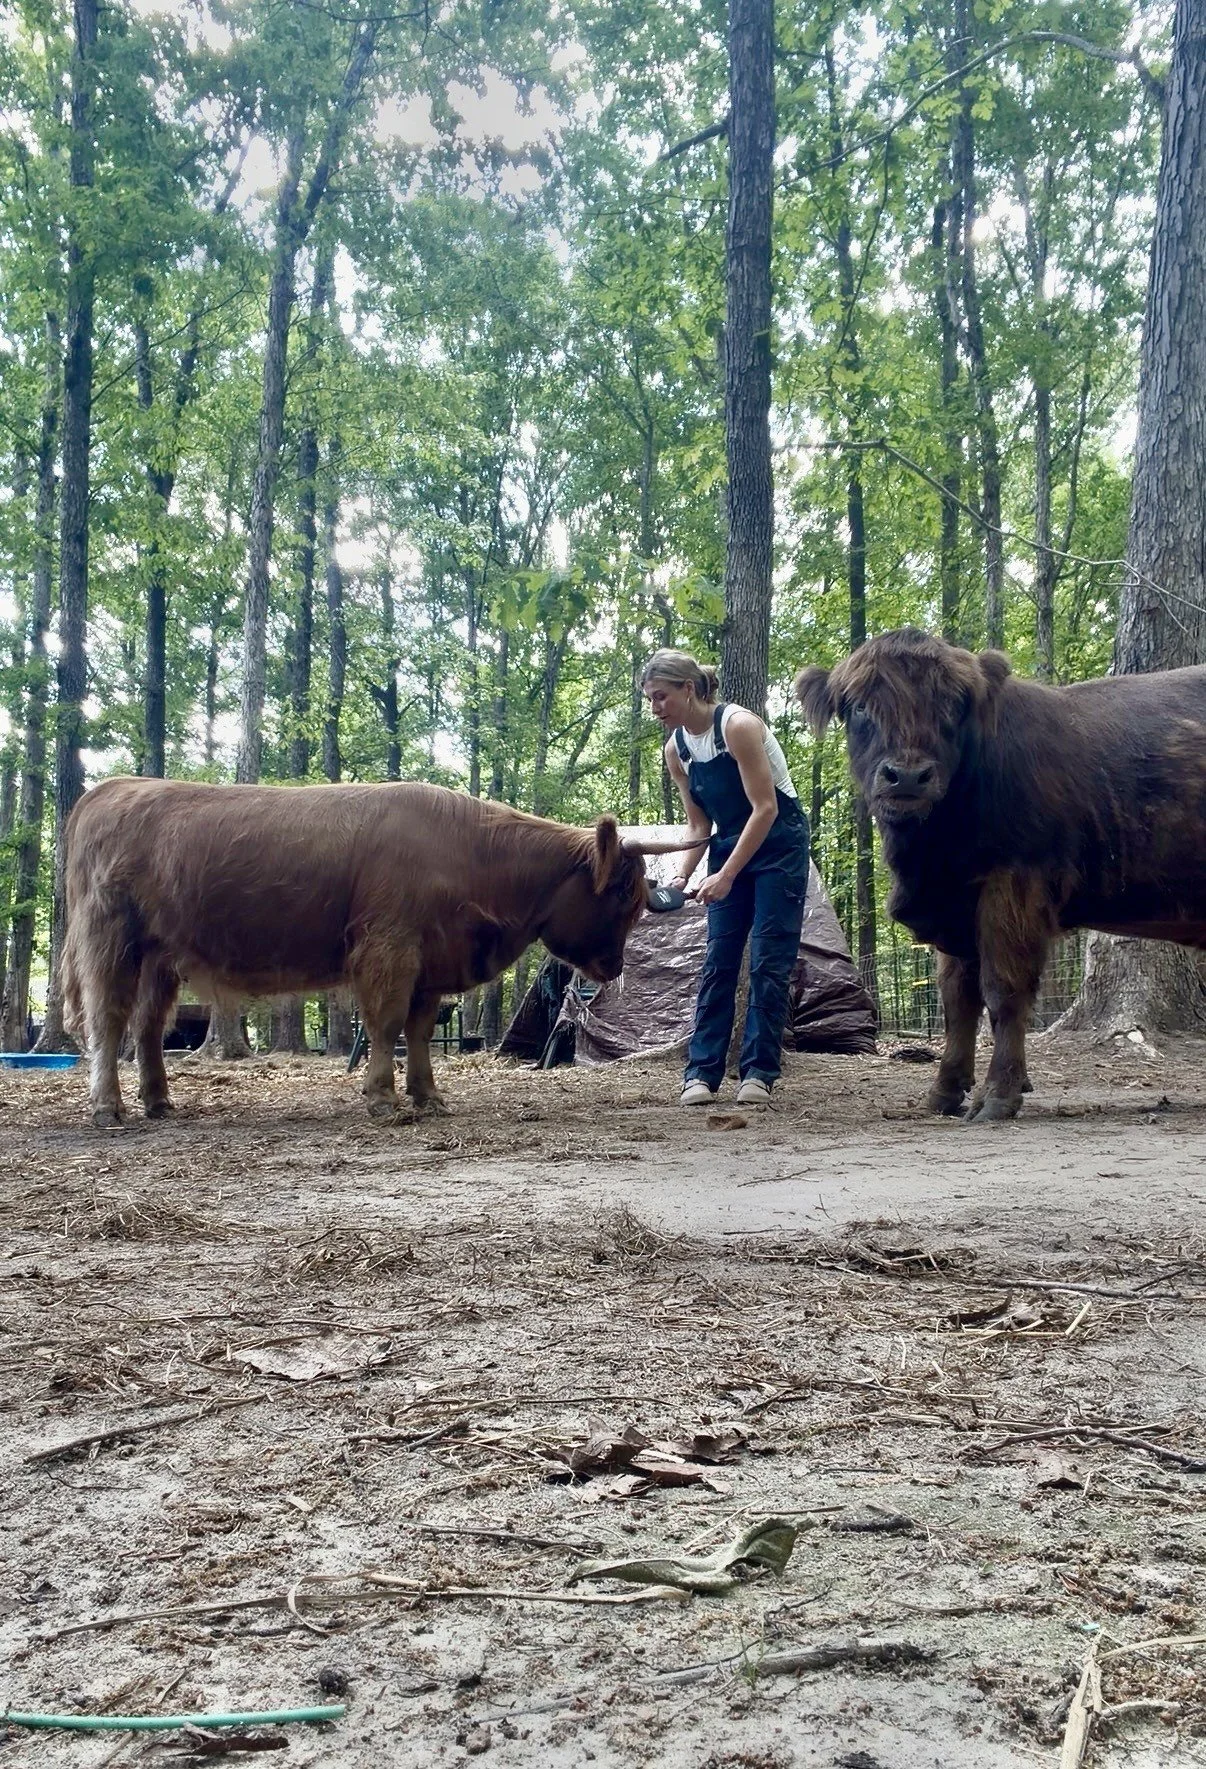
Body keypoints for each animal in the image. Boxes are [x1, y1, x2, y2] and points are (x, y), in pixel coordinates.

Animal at [61, 777, 695, 1127]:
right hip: (109, 940)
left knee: (147, 1027)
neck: (471, 854)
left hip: (158, 958)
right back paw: (108, 1107)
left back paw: (158, 1102)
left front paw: (427, 1095)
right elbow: (387, 1023)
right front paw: (383, 1098)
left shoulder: (432, 964)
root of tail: (111, 789)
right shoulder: (390, 948)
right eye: (621, 896)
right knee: (108, 1020)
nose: (615, 965)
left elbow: (418, 1030)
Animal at [795, 627, 1206, 1121]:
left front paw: (997, 1096)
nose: (908, 776)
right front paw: (943, 1093)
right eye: (857, 706)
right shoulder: (959, 907)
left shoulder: (1012, 888)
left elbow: (1003, 991)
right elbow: (958, 1000)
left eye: (953, 704)